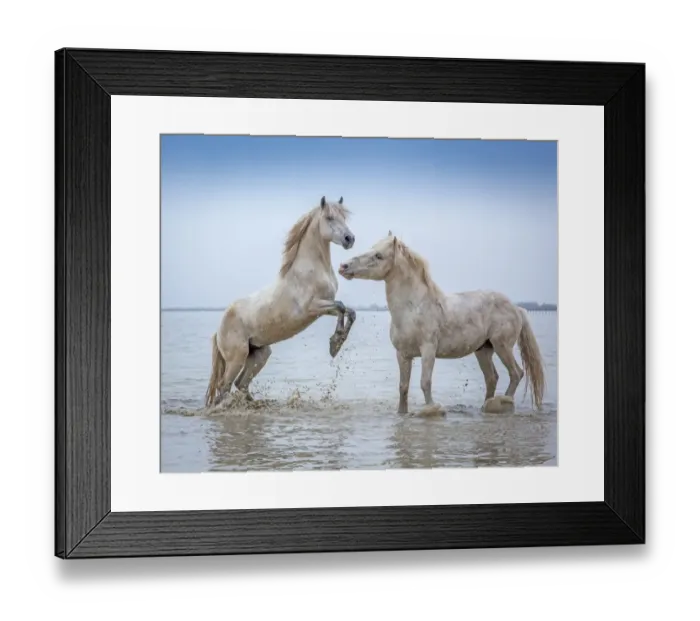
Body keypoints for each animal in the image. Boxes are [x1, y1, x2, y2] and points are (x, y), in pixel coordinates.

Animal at [205, 196, 357, 407]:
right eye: (329, 218)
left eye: (344, 217)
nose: (349, 239)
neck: (311, 270)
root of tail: (218, 330)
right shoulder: (312, 307)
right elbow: (342, 306)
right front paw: (335, 344)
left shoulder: (324, 306)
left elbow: (349, 311)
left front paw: (336, 343)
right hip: (237, 358)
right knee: (224, 387)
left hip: (259, 354)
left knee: (240, 384)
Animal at [338, 232, 546, 416]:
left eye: (378, 255)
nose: (343, 266)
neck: (413, 309)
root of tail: (516, 308)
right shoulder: (403, 354)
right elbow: (403, 387)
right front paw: (402, 413)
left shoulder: (428, 349)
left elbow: (425, 382)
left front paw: (432, 409)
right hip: (484, 350)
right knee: (492, 378)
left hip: (503, 346)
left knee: (516, 373)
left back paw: (502, 403)